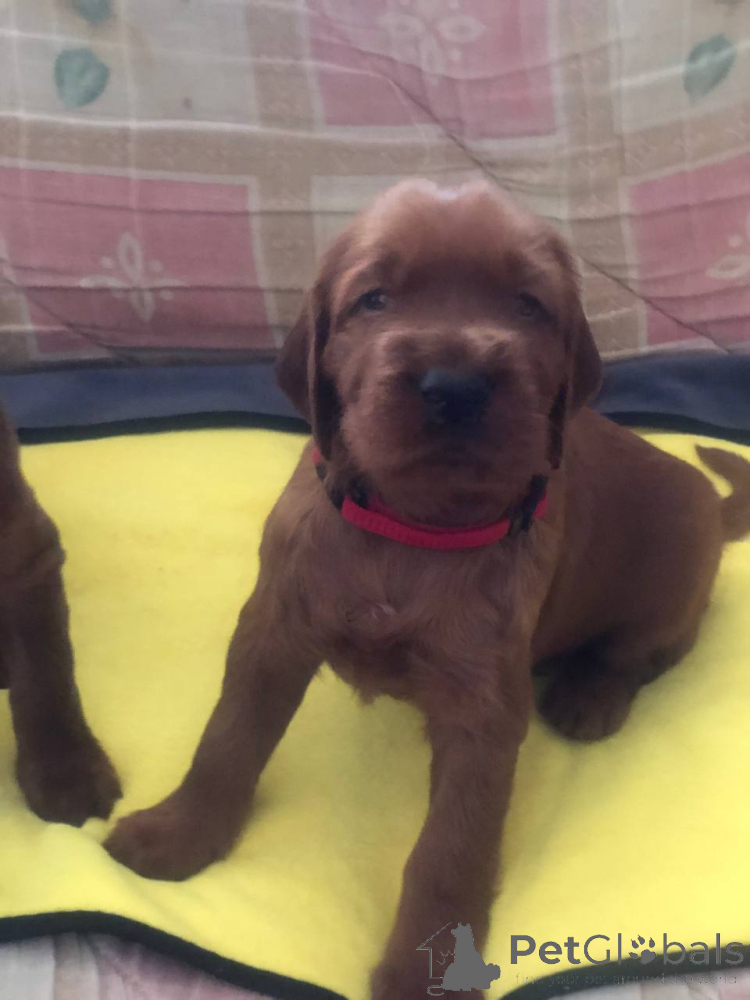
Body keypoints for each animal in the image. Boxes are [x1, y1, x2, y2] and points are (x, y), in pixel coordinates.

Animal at [105, 179, 750, 998]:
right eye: (374, 298)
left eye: (528, 305)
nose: (457, 386)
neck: (412, 529)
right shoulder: (272, 630)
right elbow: (227, 739)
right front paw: (180, 832)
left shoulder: (482, 709)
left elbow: (449, 850)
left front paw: (424, 976)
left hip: (674, 574)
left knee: (642, 651)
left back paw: (589, 694)